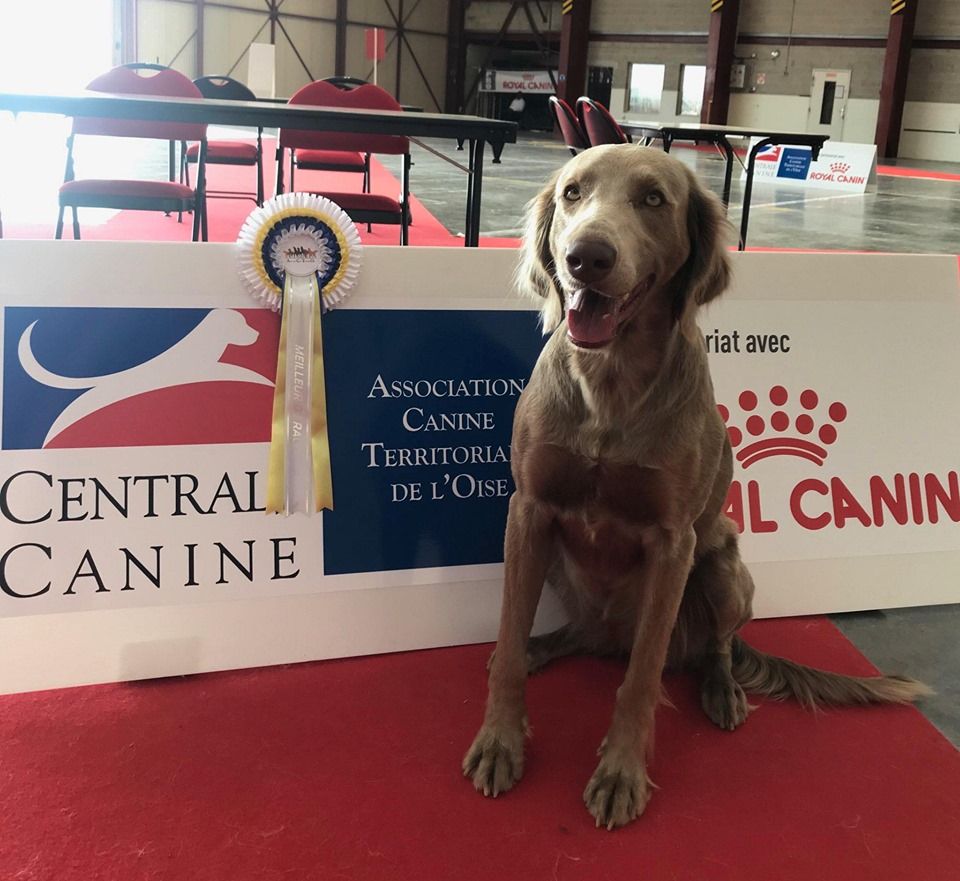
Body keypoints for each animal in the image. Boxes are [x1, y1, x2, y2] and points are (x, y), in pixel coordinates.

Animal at [464, 143, 928, 824]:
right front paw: (500, 739)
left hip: (724, 566)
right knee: (575, 635)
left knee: (711, 647)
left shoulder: (672, 542)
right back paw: (535, 647)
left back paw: (722, 689)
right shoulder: (530, 511)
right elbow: (508, 630)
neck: (611, 381)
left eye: (654, 199)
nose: (586, 257)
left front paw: (621, 772)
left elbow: (642, 679)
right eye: (573, 192)